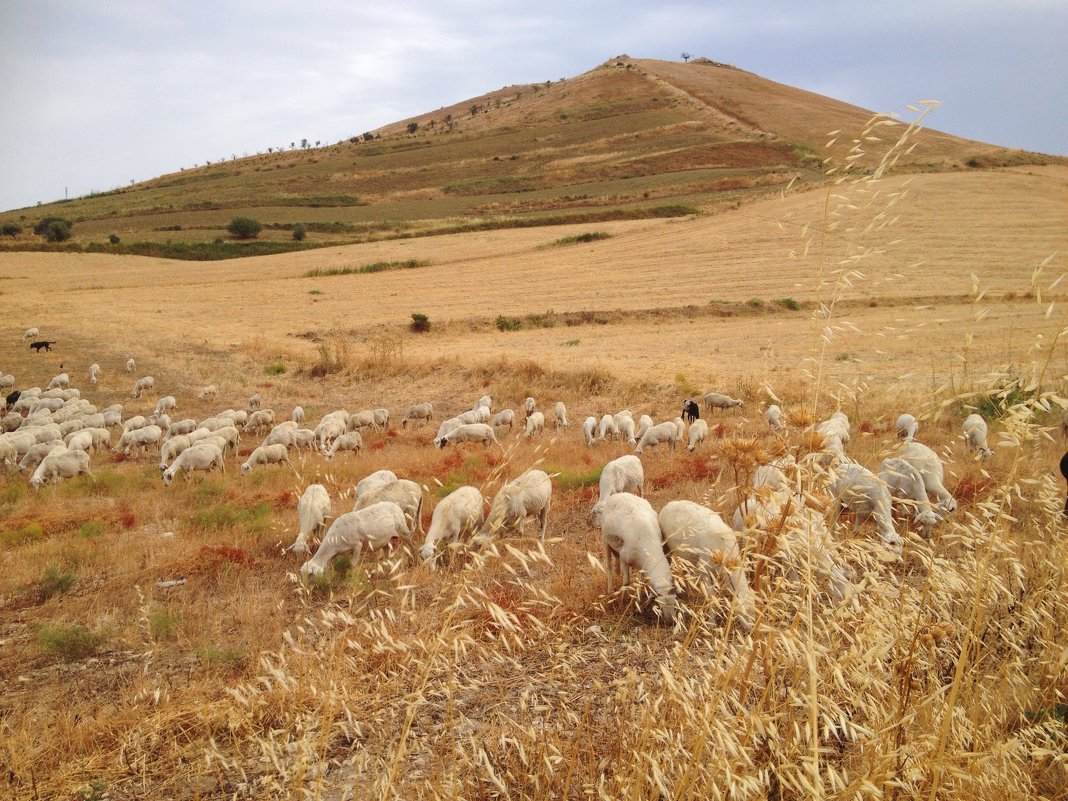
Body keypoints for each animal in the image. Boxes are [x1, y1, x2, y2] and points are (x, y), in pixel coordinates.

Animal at [593, 495, 674, 627]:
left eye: (674, 599)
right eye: (661, 602)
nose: (671, 622)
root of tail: (617, 495)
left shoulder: (642, 565)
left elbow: (640, 583)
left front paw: (638, 601)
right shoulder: (624, 559)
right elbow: (626, 582)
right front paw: (622, 603)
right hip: (605, 541)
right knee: (609, 566)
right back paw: (610, 591)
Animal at [653, 501, 756, 632]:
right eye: (744, 612)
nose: (750, 630)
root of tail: (670, 503)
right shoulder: (704, 568)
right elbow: (711, 595)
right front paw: (711, 623)